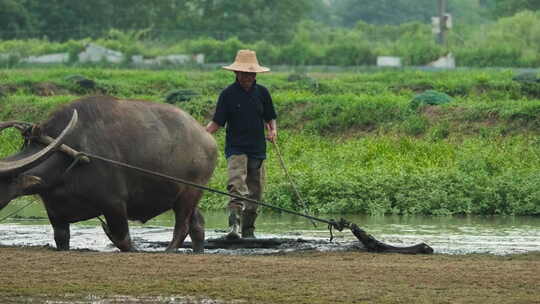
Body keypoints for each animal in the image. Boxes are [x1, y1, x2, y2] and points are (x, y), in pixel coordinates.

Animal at [0, 96, 215, 253]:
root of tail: (208, 139)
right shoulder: (55, 213)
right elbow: (61, 238)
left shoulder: (114, 204)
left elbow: (123, 240)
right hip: (182, 197)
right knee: (197, 224)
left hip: (191, 192)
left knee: (182, 226)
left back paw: (169, 251)